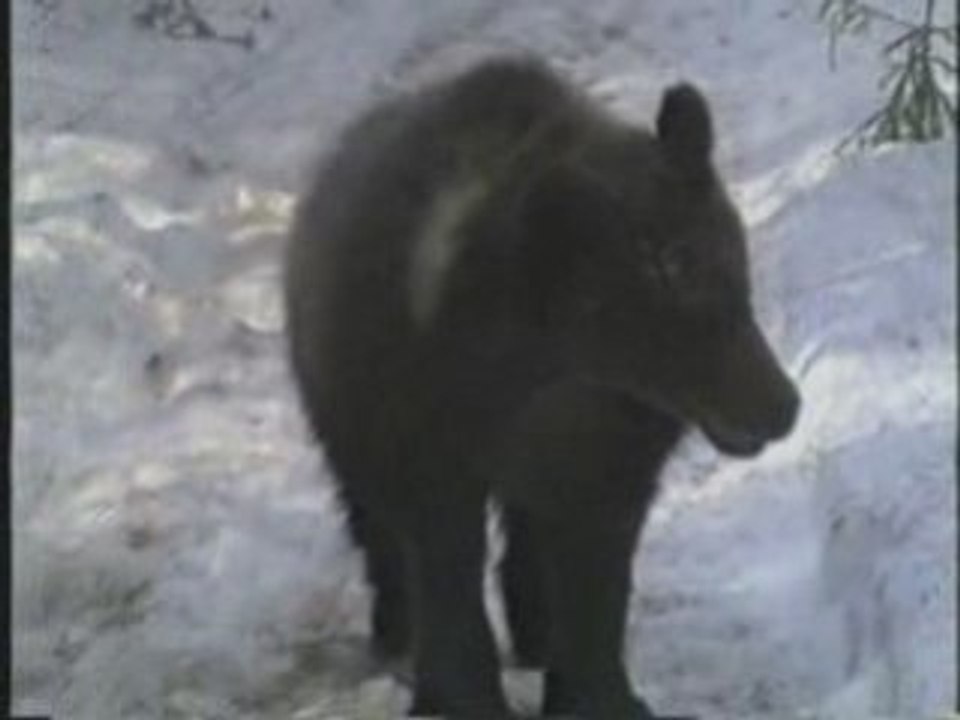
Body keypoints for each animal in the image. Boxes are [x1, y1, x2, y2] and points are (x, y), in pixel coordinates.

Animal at [284, 56, 800, 719]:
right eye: (678, 287)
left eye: (736, 276)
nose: (782, 405)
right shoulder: (431, 436)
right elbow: (446, 564)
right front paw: (459, 693)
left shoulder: (610, 450)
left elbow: (596, 575)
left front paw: (599, 692)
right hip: (341, 408)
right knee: (373, 519)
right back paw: (395, 624)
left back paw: (532, 630)